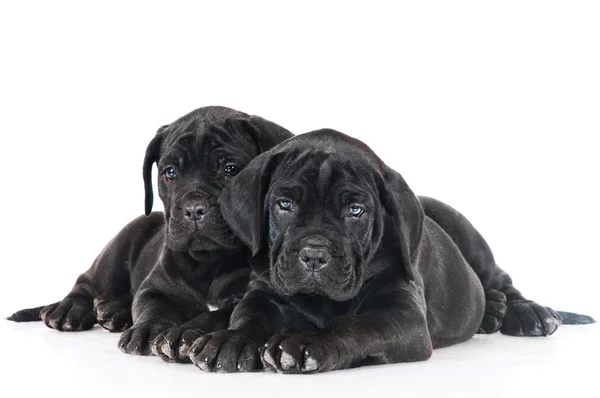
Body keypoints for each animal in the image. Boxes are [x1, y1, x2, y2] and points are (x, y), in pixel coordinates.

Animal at [7, 107, 292, 362]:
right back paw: (72, 308)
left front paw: (185, 332)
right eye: (170, 173)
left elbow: (216, 315)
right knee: (87, 282)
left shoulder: (244, 297)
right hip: (119, 247)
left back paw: (113, 311)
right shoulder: (155, 288)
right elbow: (152, 306)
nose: (193, 208)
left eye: (231, 169)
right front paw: (148, 329)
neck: (208, 262)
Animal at [189, 128, 596, 374]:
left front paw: (307, 342)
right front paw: (231, 340)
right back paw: (493, 312)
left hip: (467, 234)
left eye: (356, 210)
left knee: (502, 279)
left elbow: (354, 324)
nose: (314, 256)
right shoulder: (263, 292)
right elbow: (248, 315)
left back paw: (525, 313)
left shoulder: (403, 315)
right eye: (284, 204)